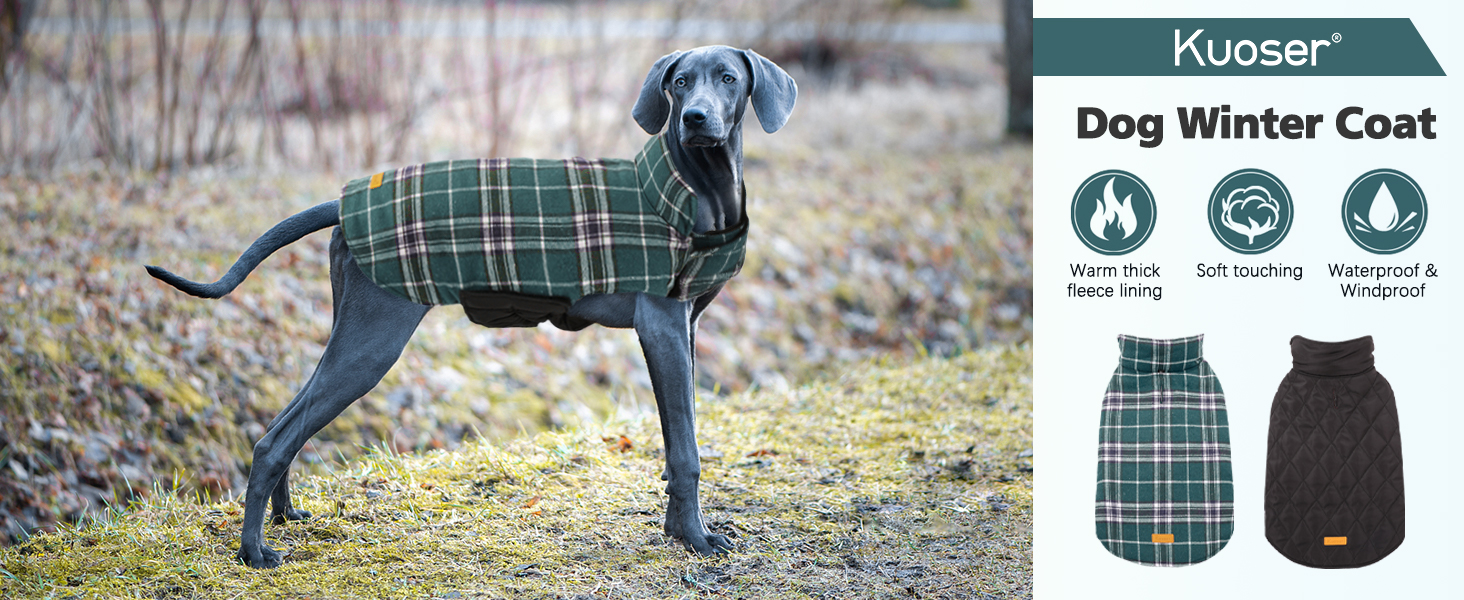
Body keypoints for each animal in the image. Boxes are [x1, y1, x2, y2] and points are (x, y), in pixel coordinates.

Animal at [142, 45, 796, 567]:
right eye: (680, 82)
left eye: (727, 78)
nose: (695, 118)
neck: (694, 189)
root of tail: (344, 202)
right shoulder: (661, 326)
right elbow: (685, 450)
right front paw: (695, 540)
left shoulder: (685, 328)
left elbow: (679, 436)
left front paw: (678, 530)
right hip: (373, 340)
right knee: (274, 440)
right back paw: (254, 551)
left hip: (350, 331)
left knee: (285, 426)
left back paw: (285, 516)